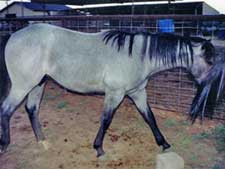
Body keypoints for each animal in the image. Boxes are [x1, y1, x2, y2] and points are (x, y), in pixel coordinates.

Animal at [0, 23, 222, 157]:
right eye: (210, 61)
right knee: (6, 110)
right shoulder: (115, 94)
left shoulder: (138, 93)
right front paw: (99, 148)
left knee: (31, 109)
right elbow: (106, 120)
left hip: (38, 84)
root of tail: (13, 35)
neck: (139, 56)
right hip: (22, 85)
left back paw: (42, 142)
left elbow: (150, 117)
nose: (212, 97)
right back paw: (5, 144)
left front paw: (163, 143)